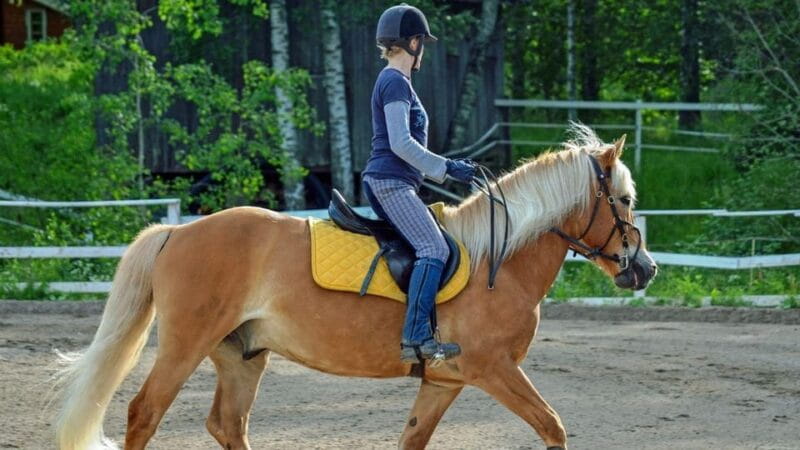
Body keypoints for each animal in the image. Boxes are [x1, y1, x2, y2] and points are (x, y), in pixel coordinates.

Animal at [53, 125, 657, 450]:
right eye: (625, 200)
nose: (645, 269)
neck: (499, 261)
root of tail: (177, 231)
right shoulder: (494, 369)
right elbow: (553, 427)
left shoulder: (444, 380)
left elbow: (412, 439)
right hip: (185, 345)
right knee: (144, 413)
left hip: (242, 355)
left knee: (227, 424)